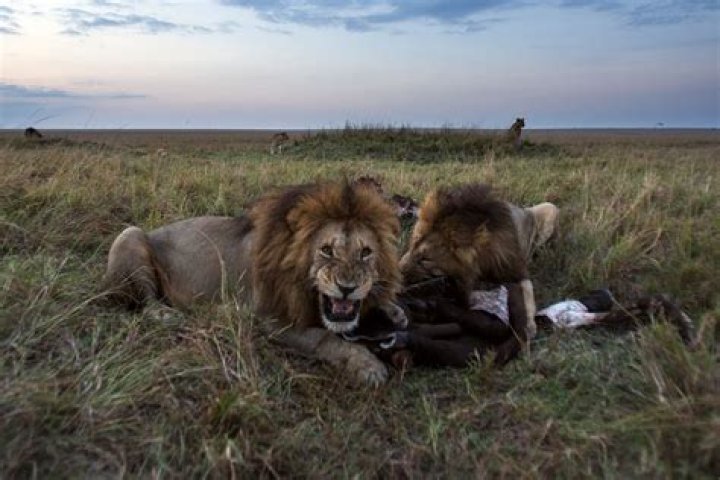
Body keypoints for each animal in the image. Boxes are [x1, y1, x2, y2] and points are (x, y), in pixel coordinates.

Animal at [102, 181, 405, 386]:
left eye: (365, 252)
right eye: (326, 250)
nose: (347, 287)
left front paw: (393, 310)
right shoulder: (269, 318)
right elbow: (325, 338)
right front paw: (367, 364)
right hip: (130, 234)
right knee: (146, 302)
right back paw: (167, 314)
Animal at [399, 183, 559, 342]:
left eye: (425, 259)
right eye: (411, 247)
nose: (397, 275)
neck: (482, 264)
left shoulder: (515, 269)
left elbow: (527, 292)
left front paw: (529, 326)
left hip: (549, 207)